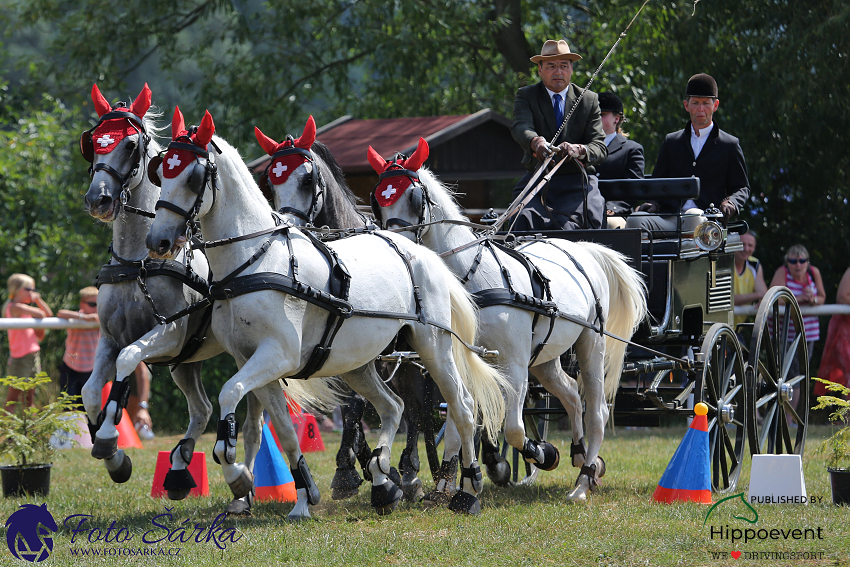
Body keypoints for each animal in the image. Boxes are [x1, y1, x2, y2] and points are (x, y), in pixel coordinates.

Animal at [78, 84, 332, 520]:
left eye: (129, 145)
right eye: (94, 142)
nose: (100, 199)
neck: (138, 261)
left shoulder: (170, 334)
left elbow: (129, 360)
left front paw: (111, 441)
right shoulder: (110, 338)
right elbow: (92, 392)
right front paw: (113, 456)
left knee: (251, 423)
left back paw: (242, 485)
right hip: (187, 363)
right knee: (201, 409)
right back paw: (183, 468)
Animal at [142, 108, 506, 516]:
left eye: (192, 175)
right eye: (162, 171)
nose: (158, 240)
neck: (253, 260)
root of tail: (422, 252)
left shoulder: (277, 355)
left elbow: (228, 395)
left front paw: (236, 472)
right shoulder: (250, 359)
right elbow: (284, 431)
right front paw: (301, 497)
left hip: (433, 348)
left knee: (460, 406)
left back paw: (466, 489)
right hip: (357, 364)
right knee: (393, 406)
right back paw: (383, 481)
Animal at [368, 141, 644, 502]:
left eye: (414, 197)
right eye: (377, 198)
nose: (393, 244)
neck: (471, 276)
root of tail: (583, 249)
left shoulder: (513, 363)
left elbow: (512, 428)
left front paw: (540, 453)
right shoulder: (463, 359)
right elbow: (461, 415)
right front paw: (451, 479)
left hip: (590, 344)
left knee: (596, 411)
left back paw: (582, 481)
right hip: (544, 358)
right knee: (571, 394)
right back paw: (581, 454)